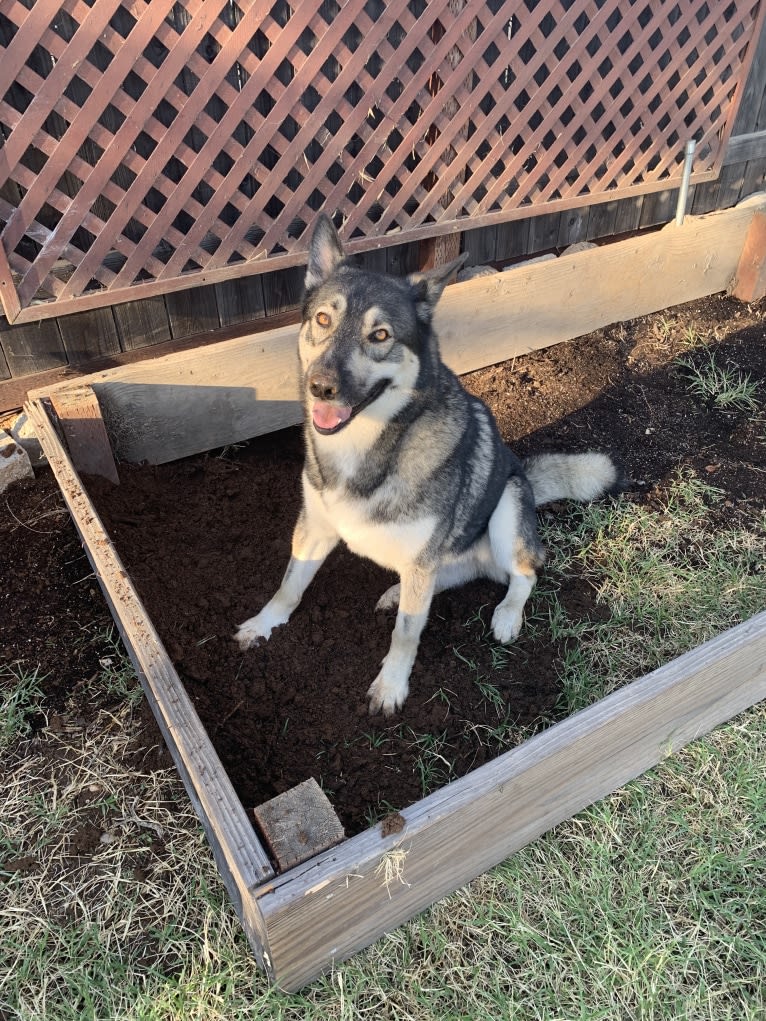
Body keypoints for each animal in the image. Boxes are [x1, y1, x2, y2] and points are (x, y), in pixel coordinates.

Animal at [235, 215, 625, 714]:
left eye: (380, 336)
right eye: (323, 319)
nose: (319, 386)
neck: (369, 444)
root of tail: (525, 477)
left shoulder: (422, 557)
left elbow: (406, 633)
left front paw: (391, 687)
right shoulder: (315, 527)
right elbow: (290, 583)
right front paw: (264, 623)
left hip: (506, 511)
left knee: (525, 572)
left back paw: (506, 614)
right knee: (449, 577)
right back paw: (398, 591)